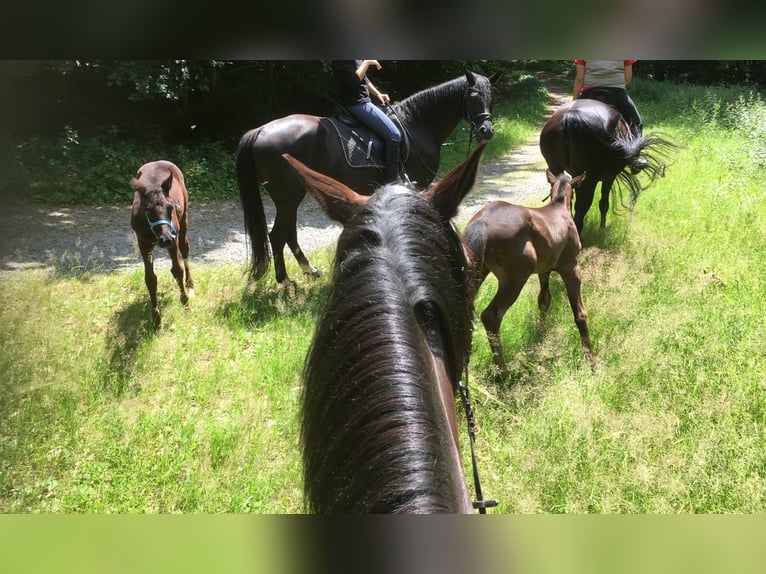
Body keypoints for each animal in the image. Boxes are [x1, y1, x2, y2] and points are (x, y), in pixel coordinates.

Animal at [130, 162, 195, 332]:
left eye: (170, 207)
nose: (165, 238)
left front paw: (186, 304)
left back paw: (190, 283)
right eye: (147, 209)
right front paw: (157, 321)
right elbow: (150, 279)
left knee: (185, 247)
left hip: (183, 220)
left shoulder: (174, 238)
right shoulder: (143, 243)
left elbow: (177, 270)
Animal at [236, 71, 498, 286]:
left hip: (289, 198)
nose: (486, 131)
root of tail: (260, 130)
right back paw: (286, 282)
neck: (417, 126)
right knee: (278, 235)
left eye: (491, 97)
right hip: (288, 197)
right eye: (473, 97)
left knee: (288, 233)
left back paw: (308, 270)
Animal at [462, 171, 600, 378]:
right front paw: (592, 363)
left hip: (478, 272)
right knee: (491, 316)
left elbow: (544, 300)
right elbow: (580, 314)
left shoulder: (543, 271)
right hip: (515, 278)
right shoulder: (571, 268)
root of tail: (482, 221)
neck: (559, 208)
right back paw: (503, 373)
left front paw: (541, 335)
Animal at [536, 99, 676, 234]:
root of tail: (571, 117)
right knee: (581, 208)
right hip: (589, 178)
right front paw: (602, 228)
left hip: (555, 168)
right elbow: (604, 203)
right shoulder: (610, 176)